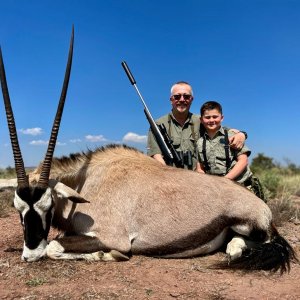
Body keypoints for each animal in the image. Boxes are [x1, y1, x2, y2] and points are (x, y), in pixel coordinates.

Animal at [0, 31, 296, 274]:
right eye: (17, 208)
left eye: (48, 206)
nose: (30, 254)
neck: (89, 181)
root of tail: (262, 207)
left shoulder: (113, 236)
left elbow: (55, 246)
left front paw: (109, 255)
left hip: (250, 225)